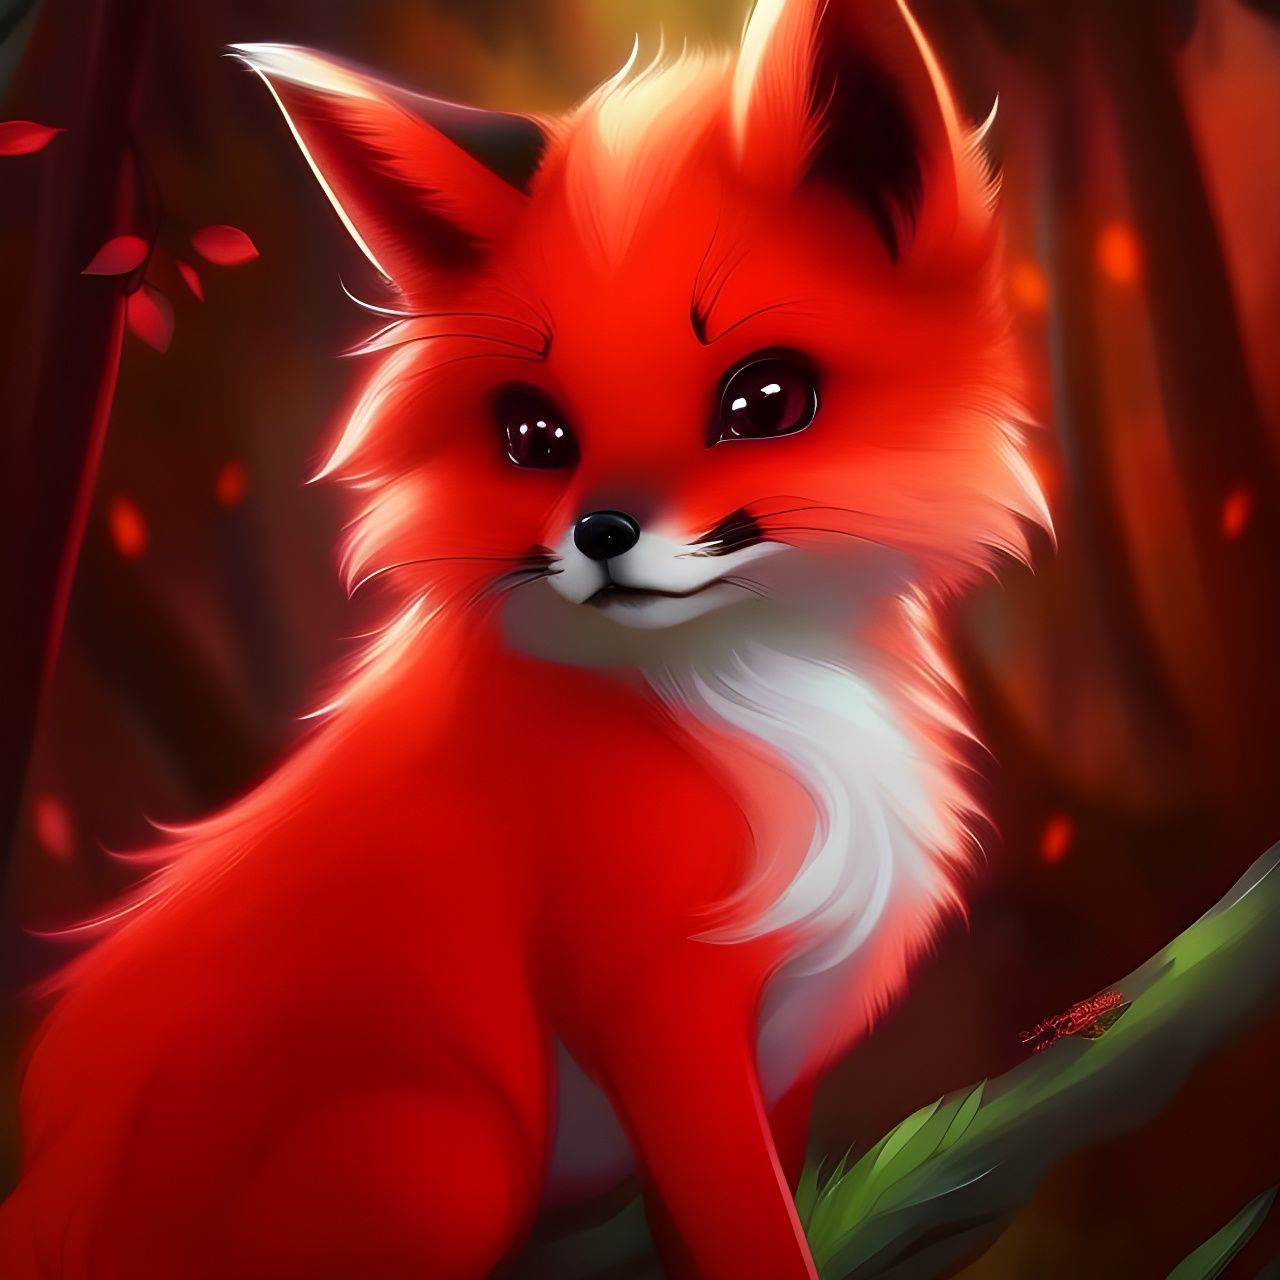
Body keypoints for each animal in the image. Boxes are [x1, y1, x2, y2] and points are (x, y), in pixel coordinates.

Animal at [0, 0, 1049, 1276]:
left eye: (766, 400)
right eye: (533, 433)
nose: (599, 533)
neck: (753, 695)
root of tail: (42, 1204)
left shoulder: (783, 1030)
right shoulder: (659, 1005)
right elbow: (748, 1227)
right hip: (454, 1159)